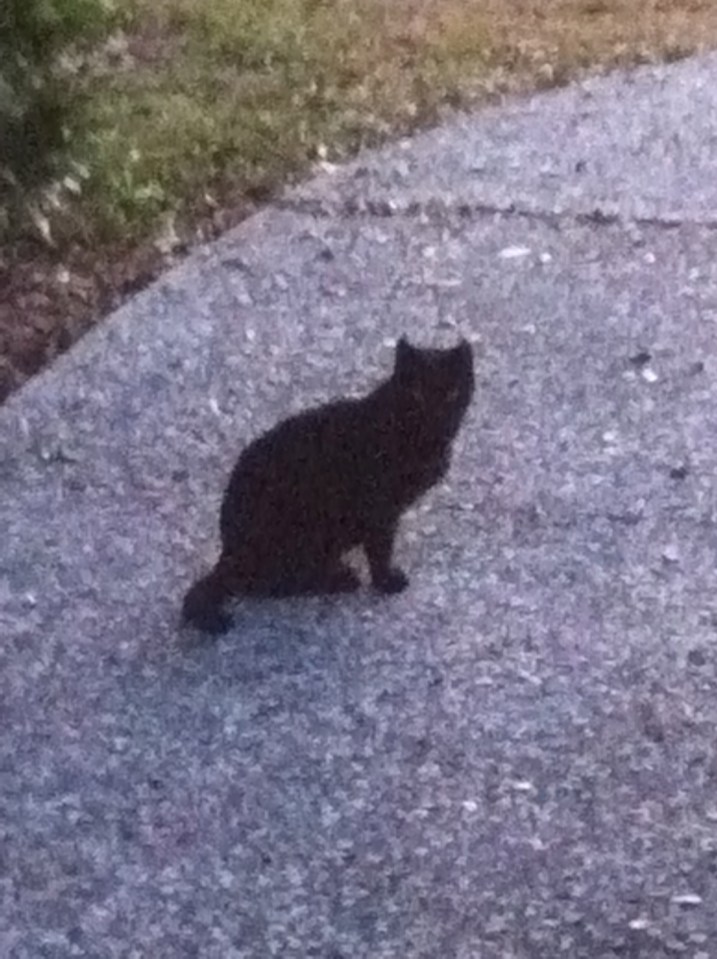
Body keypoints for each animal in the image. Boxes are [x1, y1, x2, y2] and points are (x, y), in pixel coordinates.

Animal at [182, 336, 475, 634]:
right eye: (416, 394)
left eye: (451, 393)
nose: (436, 416)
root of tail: (228, 553)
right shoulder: (380, 511)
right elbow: (381, 551)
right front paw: (386, 582)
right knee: (267, 584)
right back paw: (340, 579)